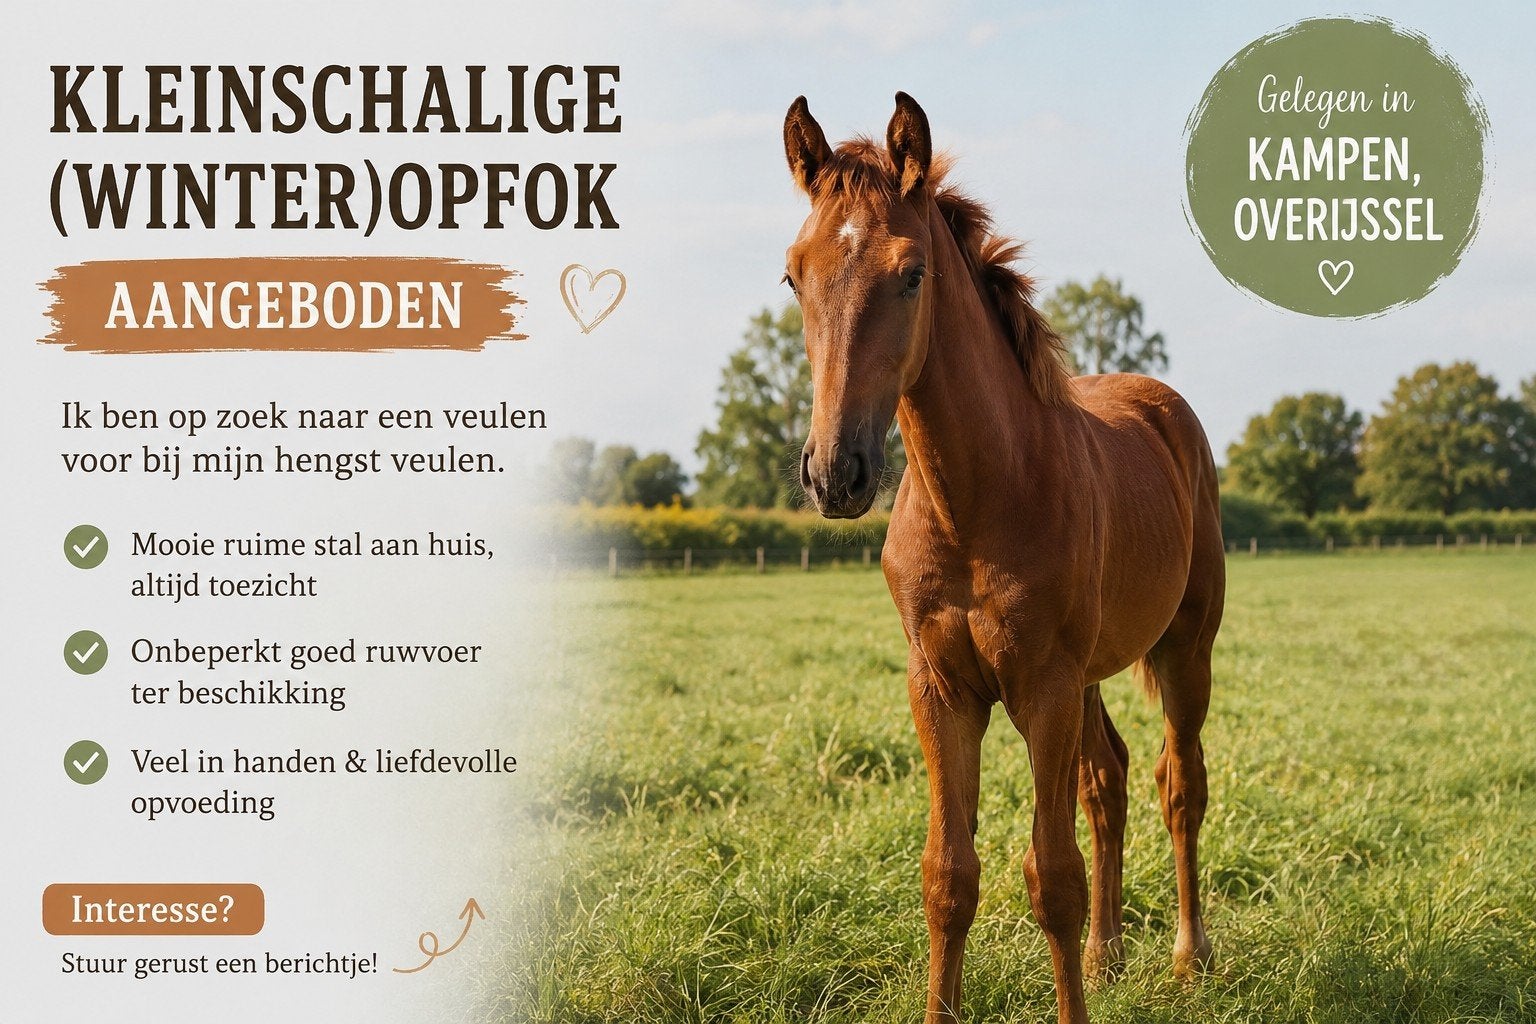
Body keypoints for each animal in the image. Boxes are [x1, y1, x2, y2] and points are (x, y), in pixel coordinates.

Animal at [781, 93, 1225, 1024]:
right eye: (794, 275)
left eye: (913, 273)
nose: (835, 472)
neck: (978, 502)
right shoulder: (941, 688)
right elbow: (949, 876)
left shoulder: (1042, 686)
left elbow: (1051, 877)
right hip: (1092, 673)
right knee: (1108, 781)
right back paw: (1106, 955)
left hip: (1184, 650)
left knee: (1180, 784)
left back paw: (1188, 956)